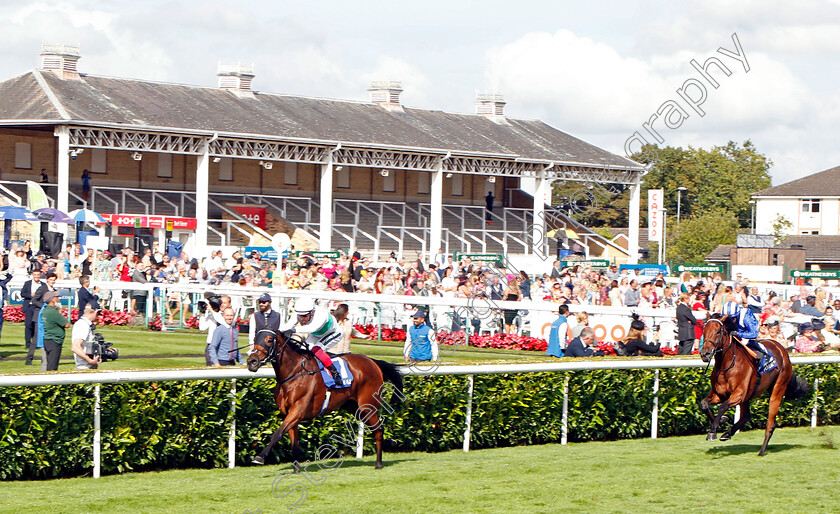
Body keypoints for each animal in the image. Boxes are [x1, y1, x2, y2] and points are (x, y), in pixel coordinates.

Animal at [246, 328, 404, 468]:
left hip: (367, 405)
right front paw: (296, 468)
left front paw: (260, 457)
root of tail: (372, 361)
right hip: (354, 407)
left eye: (269, 340)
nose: (251, 361)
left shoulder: (298, 410)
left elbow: (278, 433)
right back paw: (389, 444)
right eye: (254, 339)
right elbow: (293, 442)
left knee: (378, 429)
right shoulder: (289, 412)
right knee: (377, 428)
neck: (294, 372)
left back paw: (379, 463)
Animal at [696, 314, 808, 454]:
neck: (727, 365)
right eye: (704, 331)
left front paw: (712, 432)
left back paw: (762, 451)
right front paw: (722, 421)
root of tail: (783, 350)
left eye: (717, 332)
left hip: (778, 388)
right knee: (745, 416)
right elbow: (704, 404)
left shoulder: (739, 394)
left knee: (770, 422)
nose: (705, 354)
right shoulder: (719, 394)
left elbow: (722, 407)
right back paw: (727, 433)